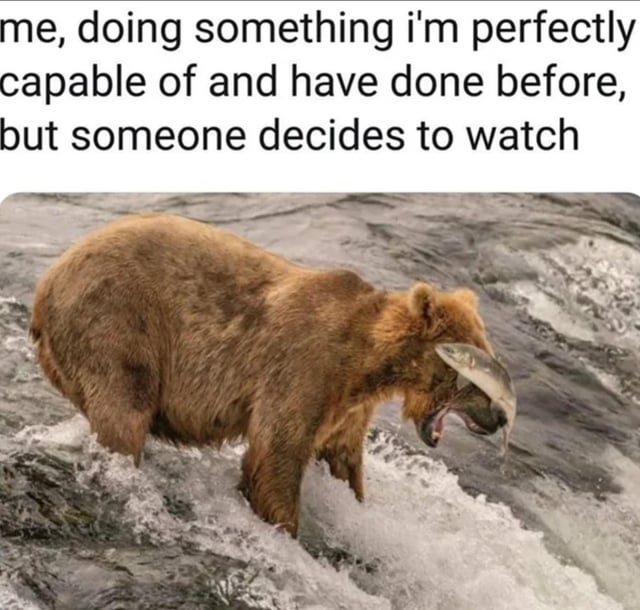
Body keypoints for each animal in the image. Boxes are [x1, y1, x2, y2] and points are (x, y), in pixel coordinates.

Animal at [30, 213, 494, 536]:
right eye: (470, 368)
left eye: (487, 351)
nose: (497, 417)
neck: (366, 362)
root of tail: (45, 284)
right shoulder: (304, 367)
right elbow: (275, 455)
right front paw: (286, 528)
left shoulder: (347, 407)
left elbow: (343, 460)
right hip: (116, 325)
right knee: (124, 413)